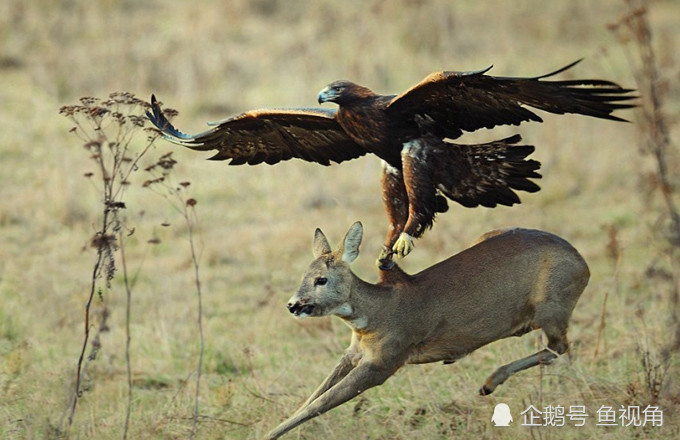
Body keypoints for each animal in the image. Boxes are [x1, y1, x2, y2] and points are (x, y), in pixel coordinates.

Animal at [262, 223, 588, 440]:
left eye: (321, 279)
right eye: (304, 275)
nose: (293, 305)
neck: (377, 314)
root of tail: (584, 265)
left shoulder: (386, 360)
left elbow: (319, 403)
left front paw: (265, 435)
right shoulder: (353, 351)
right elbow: (312, 396)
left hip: (552, 305)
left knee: (558, 347)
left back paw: (489, 382)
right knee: (556, 347)